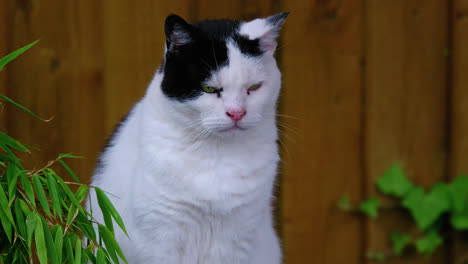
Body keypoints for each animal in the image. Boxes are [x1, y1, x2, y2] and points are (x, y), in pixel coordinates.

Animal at [86, 12, 288, 264]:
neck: (217, 154)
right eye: (209, 89)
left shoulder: (238, 239)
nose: (237, 113)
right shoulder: (162, 239)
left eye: (254, 87)